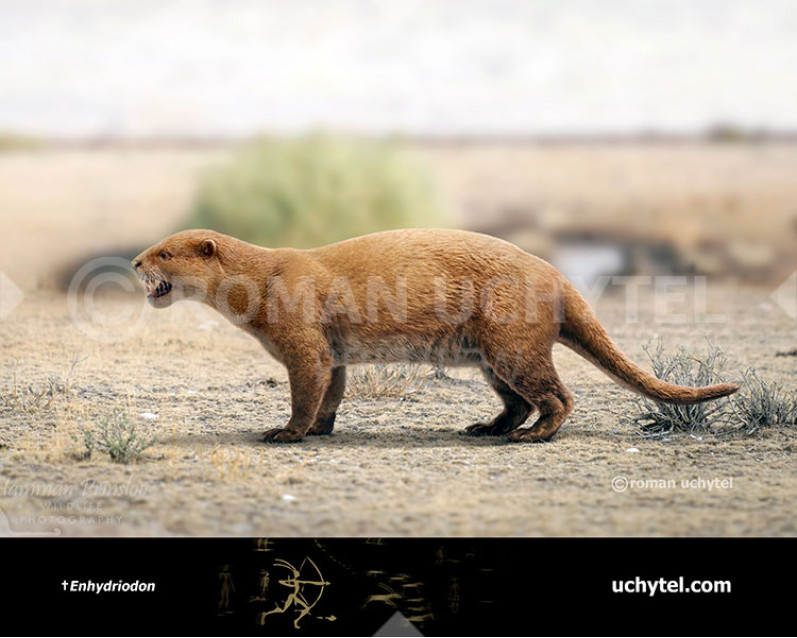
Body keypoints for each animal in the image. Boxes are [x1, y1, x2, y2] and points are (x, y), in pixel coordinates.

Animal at [133, 229, 738, 443]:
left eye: (165, 251)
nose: (136, 260)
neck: (264, 278)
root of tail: (557, 276)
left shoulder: (303, 343)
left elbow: (305, 393)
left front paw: (285, 433)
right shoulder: (334, 353)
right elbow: (331, 394)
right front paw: (323, 431)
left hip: (512, 347)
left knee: (558, 398)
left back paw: (532, 437)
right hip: (494, 359)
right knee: (518, 402)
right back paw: (484, 427)